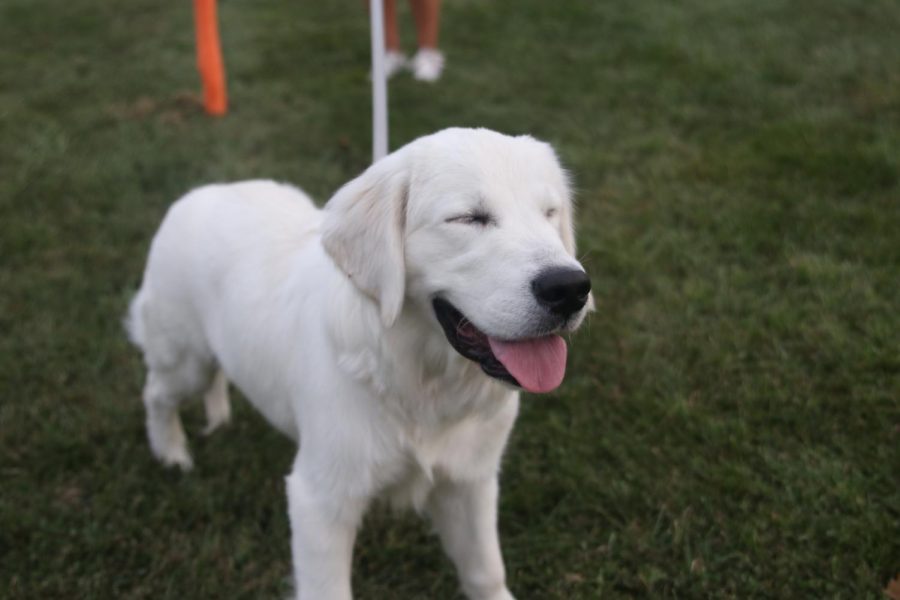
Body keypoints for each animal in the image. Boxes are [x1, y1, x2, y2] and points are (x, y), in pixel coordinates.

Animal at [125, 129, 592, 596]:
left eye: (550, 213)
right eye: (468, 218)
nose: (570, 288)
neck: (422, 379)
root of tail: (198, 194)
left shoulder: (469, 479)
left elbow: (485, 571)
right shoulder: (321, 500)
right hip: (185, 360)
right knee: (156, 393)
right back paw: (171, 454)